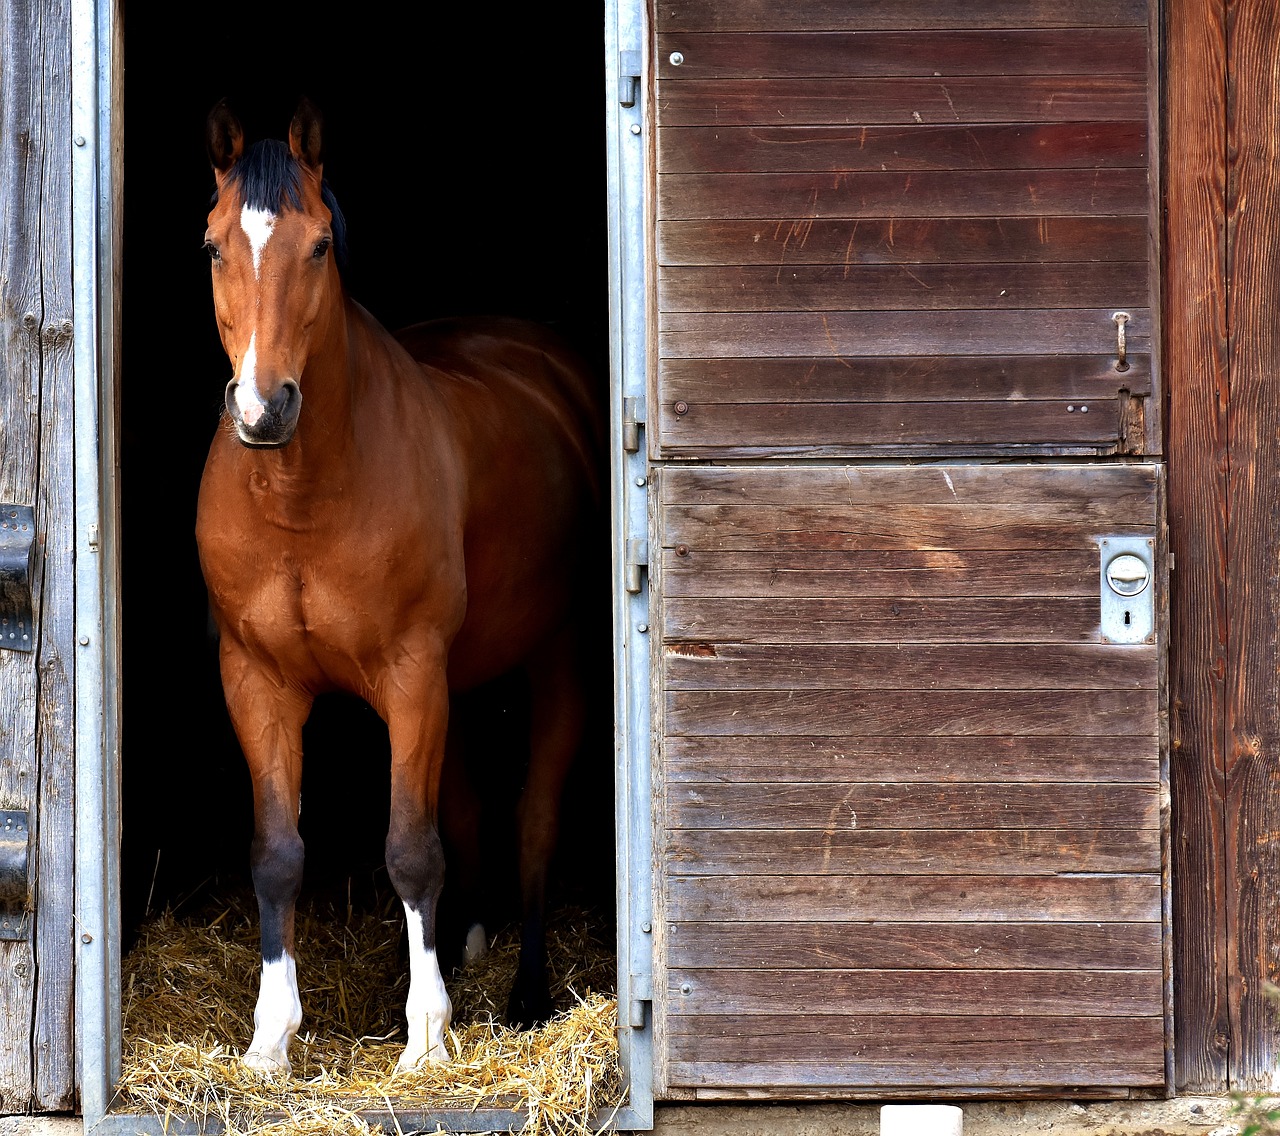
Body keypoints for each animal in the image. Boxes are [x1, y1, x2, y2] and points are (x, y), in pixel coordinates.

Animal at [192, 97, 606, 1074]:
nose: (263, 409)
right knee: (472, 809)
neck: (303, 498)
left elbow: (413, 850)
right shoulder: (257, 681)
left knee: (533, 819)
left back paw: (526, 995)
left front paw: (425, 1037)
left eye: (318, 247)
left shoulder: (412, 675)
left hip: (556, 660)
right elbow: (277, 852)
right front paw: (270, 1037)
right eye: (213, 245)